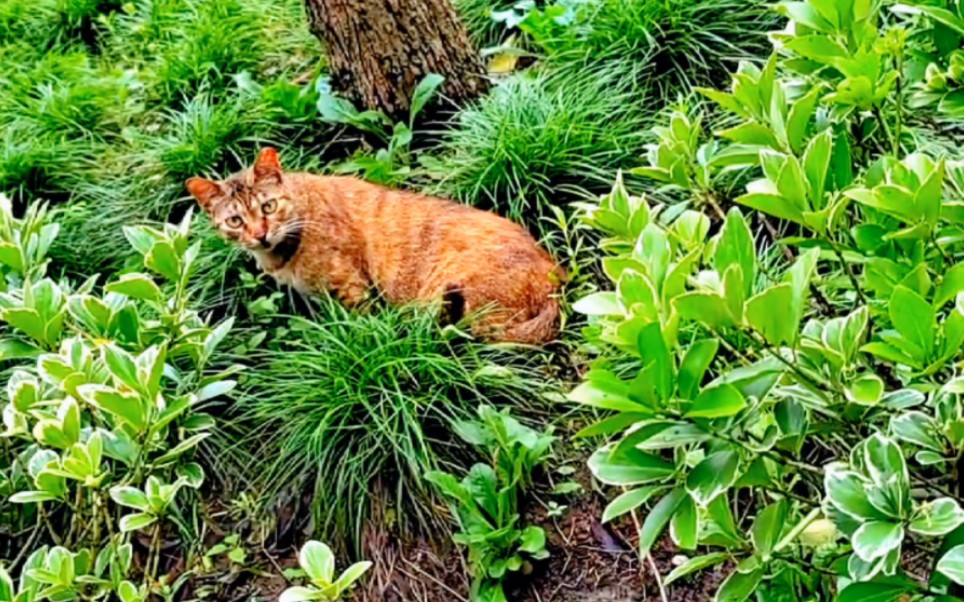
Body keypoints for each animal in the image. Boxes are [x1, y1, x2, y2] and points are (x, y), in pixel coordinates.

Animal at [186, 147, 564, 342]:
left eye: (268, 206)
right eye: (235, 221)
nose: (259, 234)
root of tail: (555, 280)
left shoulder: (353, 289)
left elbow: (361, 324)